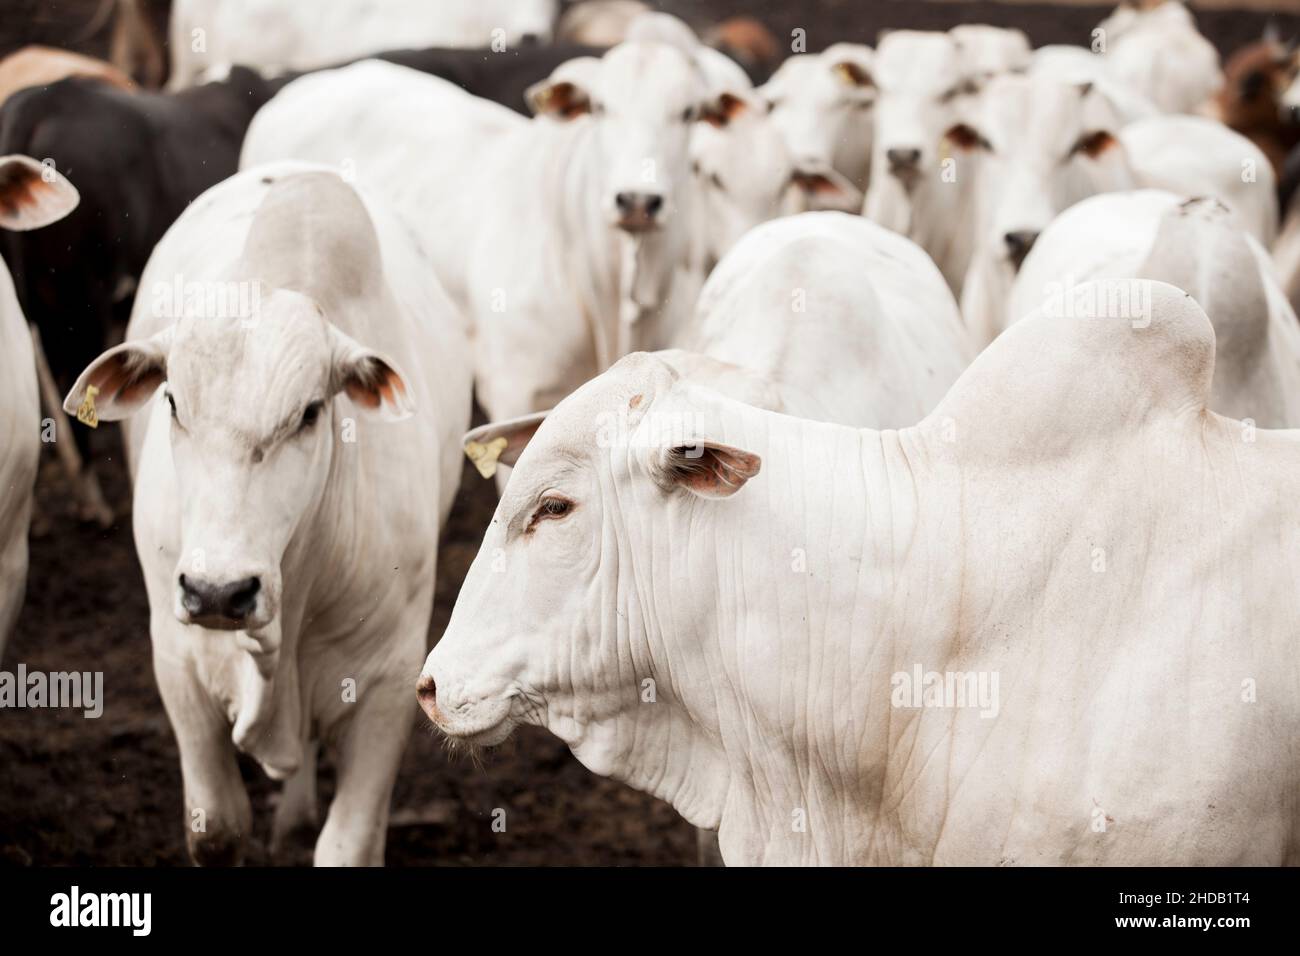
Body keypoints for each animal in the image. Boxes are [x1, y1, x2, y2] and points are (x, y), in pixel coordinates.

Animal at [61, 163, 473, 865]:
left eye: (309, 412)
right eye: (172, 402)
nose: (216, 592)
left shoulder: (388, 681)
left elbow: (348, 843)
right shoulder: (178, 663)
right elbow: (218, 829)